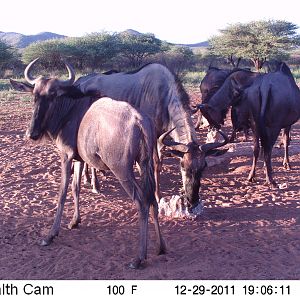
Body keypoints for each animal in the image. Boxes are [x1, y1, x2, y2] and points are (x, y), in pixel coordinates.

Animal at [9, 59, 166, 268]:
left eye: (53, 95)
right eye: (35, 95)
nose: (32, 134)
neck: (70, 110)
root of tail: (139, 120)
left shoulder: (66, 157)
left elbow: (62, 193)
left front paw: (51, 235)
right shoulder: (79, 160)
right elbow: (76, 188)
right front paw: (75, 221)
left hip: (123, 171)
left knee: (142, 202)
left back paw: (139, 258)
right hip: (144, 166)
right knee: (153, 200)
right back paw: (161, 247)